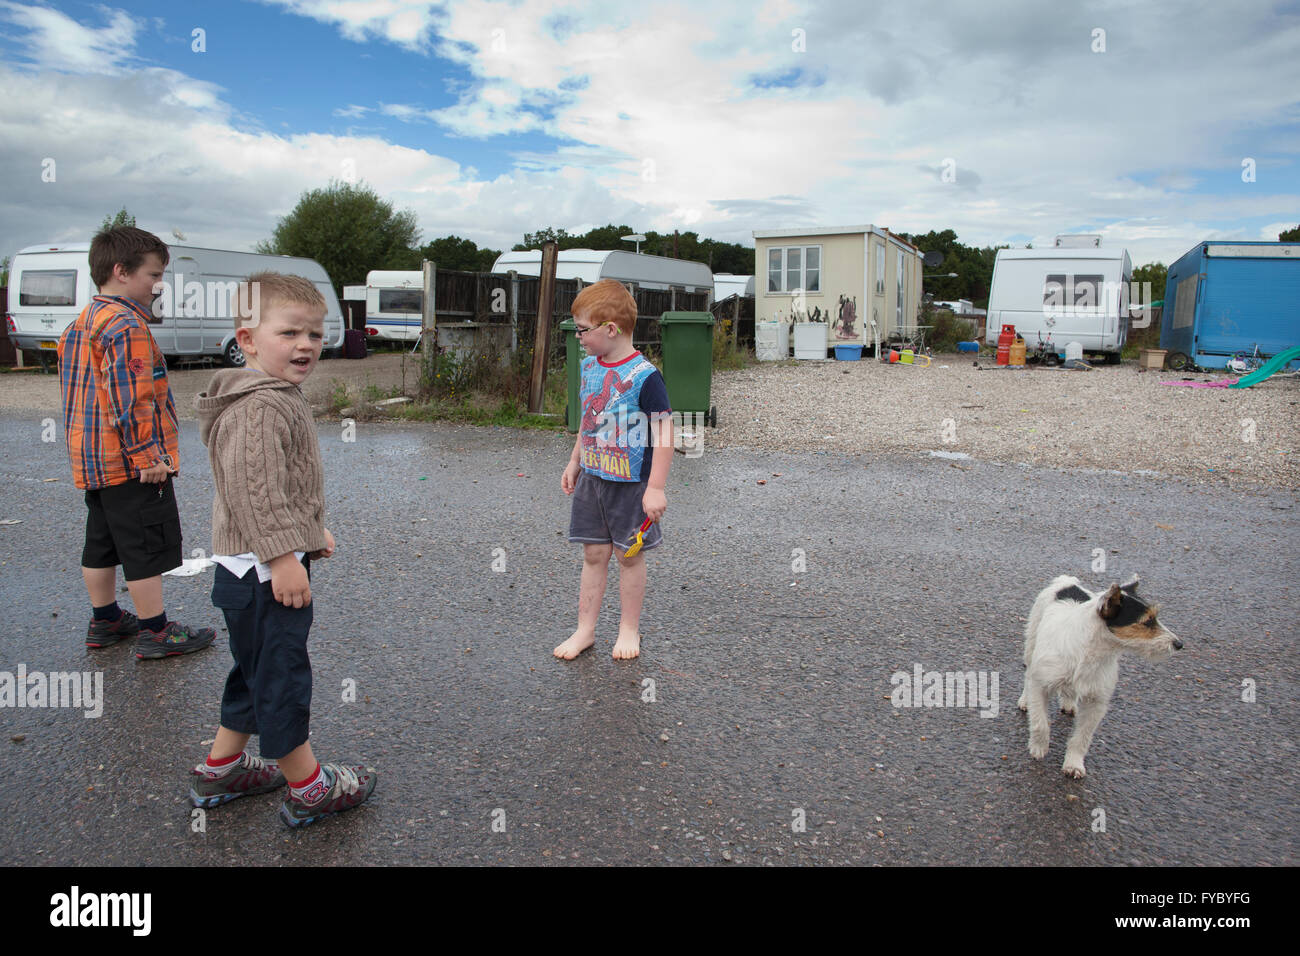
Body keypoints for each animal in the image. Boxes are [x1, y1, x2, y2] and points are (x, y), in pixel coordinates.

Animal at [1019, 574, 1185, 780]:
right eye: (1147, 621)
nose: (1178, 644)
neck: (1092, 652)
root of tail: (1067, 581)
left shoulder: (1097, 702)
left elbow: (1082, 738)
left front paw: (1074, 764)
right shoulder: (1040, 684)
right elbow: (1040, 723)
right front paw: (1038, 748)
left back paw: (1068, 703)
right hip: (1031, 643)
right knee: (1028, 674)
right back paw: (1025, 700)